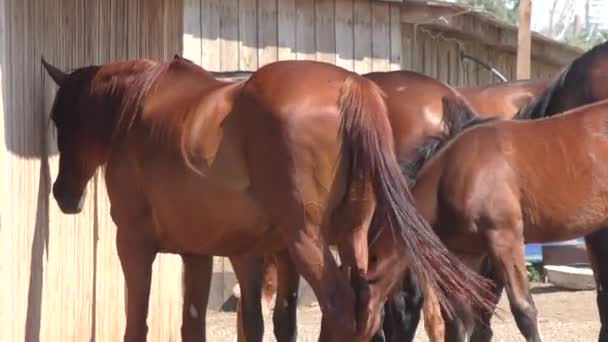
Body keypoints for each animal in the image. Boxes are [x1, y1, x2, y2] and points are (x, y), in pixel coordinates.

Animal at [41, 56, 494, 342]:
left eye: (58, 119)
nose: (62, 194)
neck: (136, 111)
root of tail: (354, 89)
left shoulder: (134, 244)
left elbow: (138, 324)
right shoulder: (203, 253)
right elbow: (204, 325)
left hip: (308, 240)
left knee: (347, 309)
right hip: (354, 238)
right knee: (369, 309)